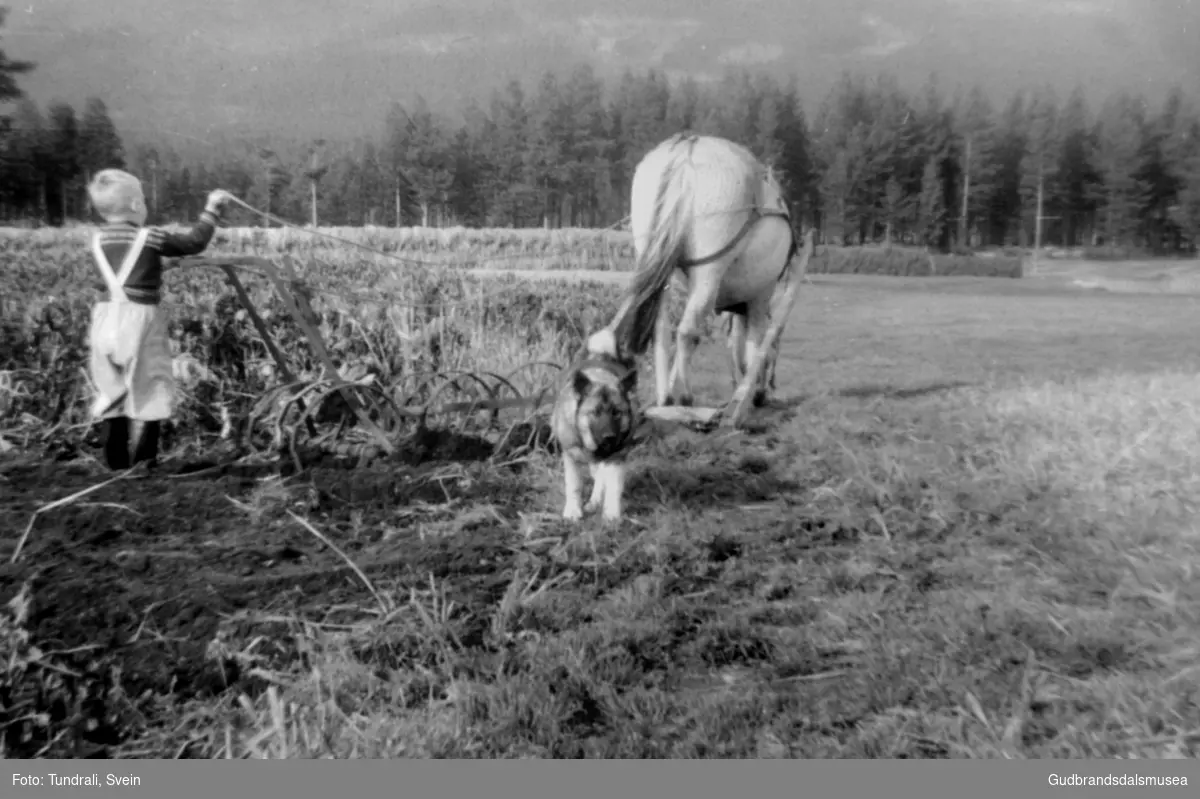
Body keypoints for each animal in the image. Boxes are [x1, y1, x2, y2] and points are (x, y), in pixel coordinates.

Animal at [552, 326, 643, 520]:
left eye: (616, 412)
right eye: (595, 412)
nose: (609, 437)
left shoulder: (617, 457)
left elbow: (613, 488)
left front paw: (611, 516)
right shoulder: (571, 456)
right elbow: (574, 485)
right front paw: (573, 511)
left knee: (601, 477)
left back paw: (595, 502)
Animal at [604, 131, 811, 417]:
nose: (769, 389)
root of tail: (689, 145)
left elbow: (737, 344)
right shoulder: (761, 295)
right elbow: (755, 344)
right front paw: (750, 392)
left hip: (657, 264)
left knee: (661, 330)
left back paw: (664, 397)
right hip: (708, 271)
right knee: (685, 331)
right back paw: (685, 396)